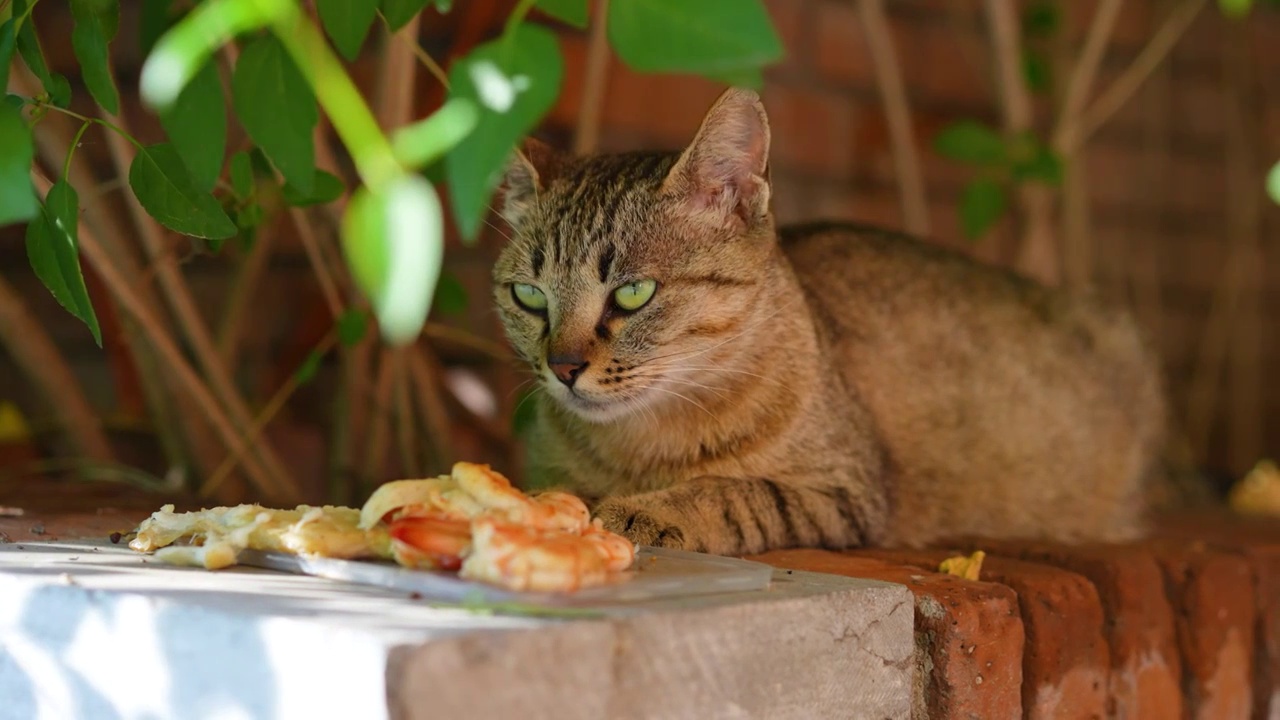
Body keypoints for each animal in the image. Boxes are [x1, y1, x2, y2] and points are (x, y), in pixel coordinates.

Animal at [488, 85, 1177, 556]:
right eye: (529, 296)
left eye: (633, 293)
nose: (563, 367)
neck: (639, 449)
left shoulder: (847, 494)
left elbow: (735, 491)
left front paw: (656, 511)